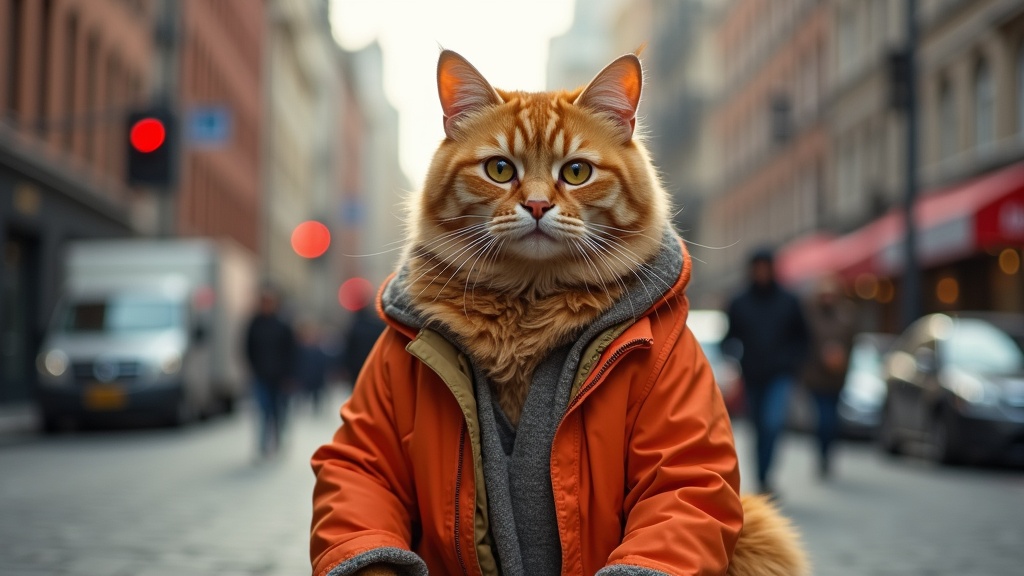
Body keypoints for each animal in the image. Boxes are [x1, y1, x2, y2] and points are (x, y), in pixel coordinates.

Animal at [311, 50, 806, 573]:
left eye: (576, 173)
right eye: (500, 169)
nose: (536, 205)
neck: (526, 303)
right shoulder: (368, 433)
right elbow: (359, 470)